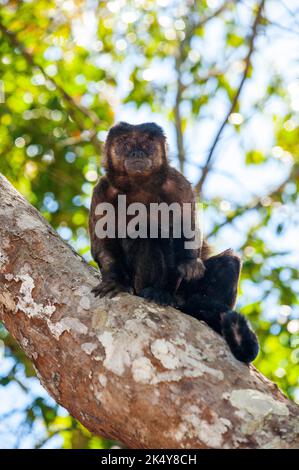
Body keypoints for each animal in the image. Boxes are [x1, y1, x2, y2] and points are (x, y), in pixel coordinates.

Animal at [89, 122, 260, 364]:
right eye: (125, 143)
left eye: (147, 143)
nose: (137, 153)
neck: (139, 184)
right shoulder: (102, 190)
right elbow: (102, 243)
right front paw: (113, 279)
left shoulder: (177, 182)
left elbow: (189, 226)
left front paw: (188, 262)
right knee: (148, 232)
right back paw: (154, 291)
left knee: (228, 262)